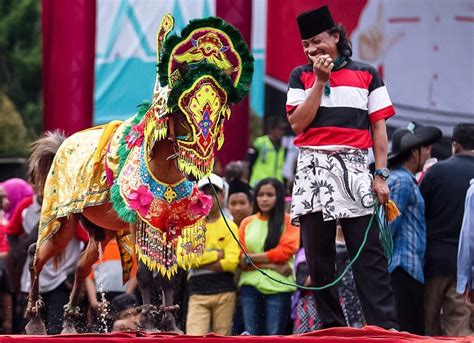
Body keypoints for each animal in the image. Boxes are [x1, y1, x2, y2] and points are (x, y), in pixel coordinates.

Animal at [25, 14, 256, 334]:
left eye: (220, 109)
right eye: (182, 108)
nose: (202, 157)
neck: (165, 173)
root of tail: (62, 144)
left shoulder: (171, 222)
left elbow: (168, 274)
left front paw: (170, 322)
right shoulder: (139, 222)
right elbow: (146, 272)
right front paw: (148, 320)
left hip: (102, 231)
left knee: (81, 267)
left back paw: (70, 323)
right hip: (63, 222)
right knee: (37, 254)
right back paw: (35, 320)